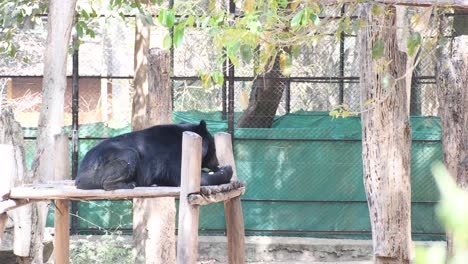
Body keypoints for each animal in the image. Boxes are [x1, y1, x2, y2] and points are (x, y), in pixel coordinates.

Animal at [76, 120, 234, 191]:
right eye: (214, 148)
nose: (217, 162)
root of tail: (79, 175)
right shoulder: (175, 155)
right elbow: (192, 177)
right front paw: (227, 170)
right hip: (115, 159)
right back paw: (129, 184)